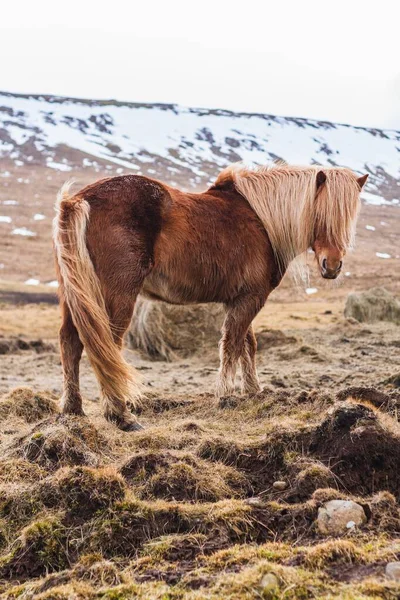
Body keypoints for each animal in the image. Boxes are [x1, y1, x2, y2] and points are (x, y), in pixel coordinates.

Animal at [54, 162, 368, 428]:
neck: (263, 222)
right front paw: (227, 396)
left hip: (75, 296)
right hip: (117, 296)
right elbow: (232, 344)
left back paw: (73, 409)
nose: (332, 266)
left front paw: (253, 391)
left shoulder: (241, 298)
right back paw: (121, 415)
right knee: (107, 346)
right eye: (321, 214)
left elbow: (247, 345)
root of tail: (77, 201)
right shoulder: (251, 298)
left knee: (70, 342)